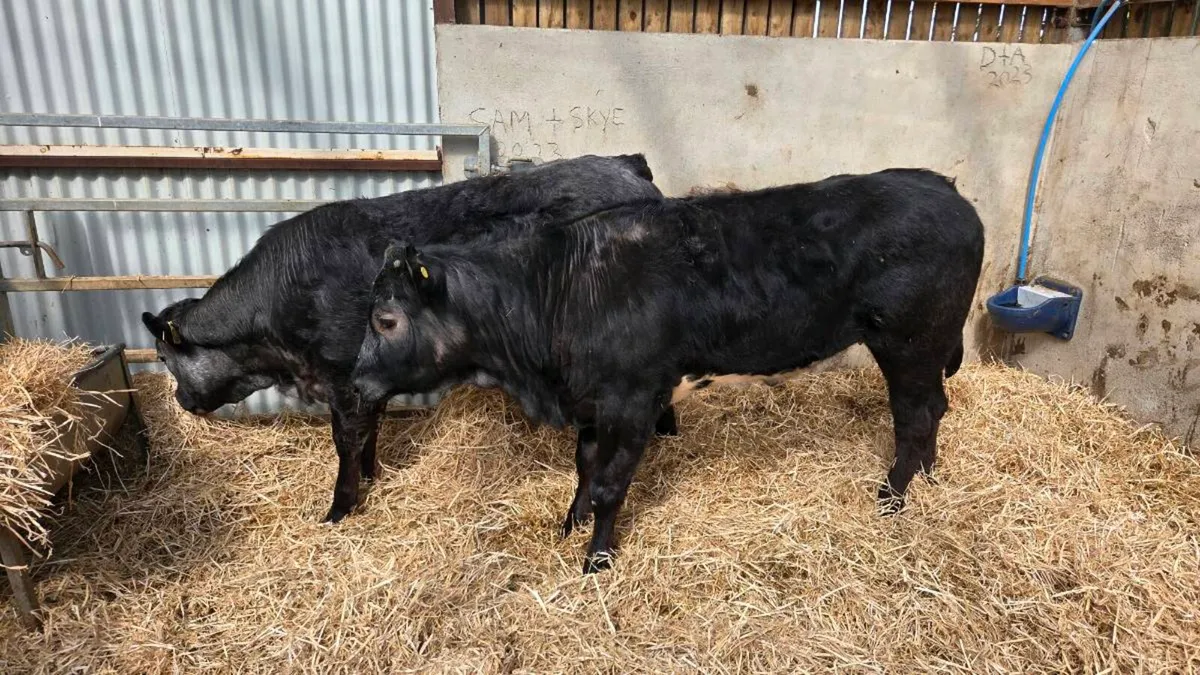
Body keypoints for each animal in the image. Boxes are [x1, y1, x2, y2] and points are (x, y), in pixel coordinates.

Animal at [140, 153, 681, 524]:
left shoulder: (342, 377)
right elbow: (371, 430)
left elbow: (346, 440)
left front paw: (339, 509)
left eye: (165, 358)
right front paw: (372, 475)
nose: (181, 401)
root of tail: (626, 164)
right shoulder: (366, 375)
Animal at [351, 168, 985, 573]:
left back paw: (894, 495)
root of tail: (943, 188)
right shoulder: (592, 403)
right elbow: (584, 469)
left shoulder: (633, 401)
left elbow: (609, 483)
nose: (356, 382)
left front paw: (596, 560)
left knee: (915, 414)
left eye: (385, 319)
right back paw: (926, 478)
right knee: (933, 410)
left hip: (909, 341)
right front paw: (571, 524)